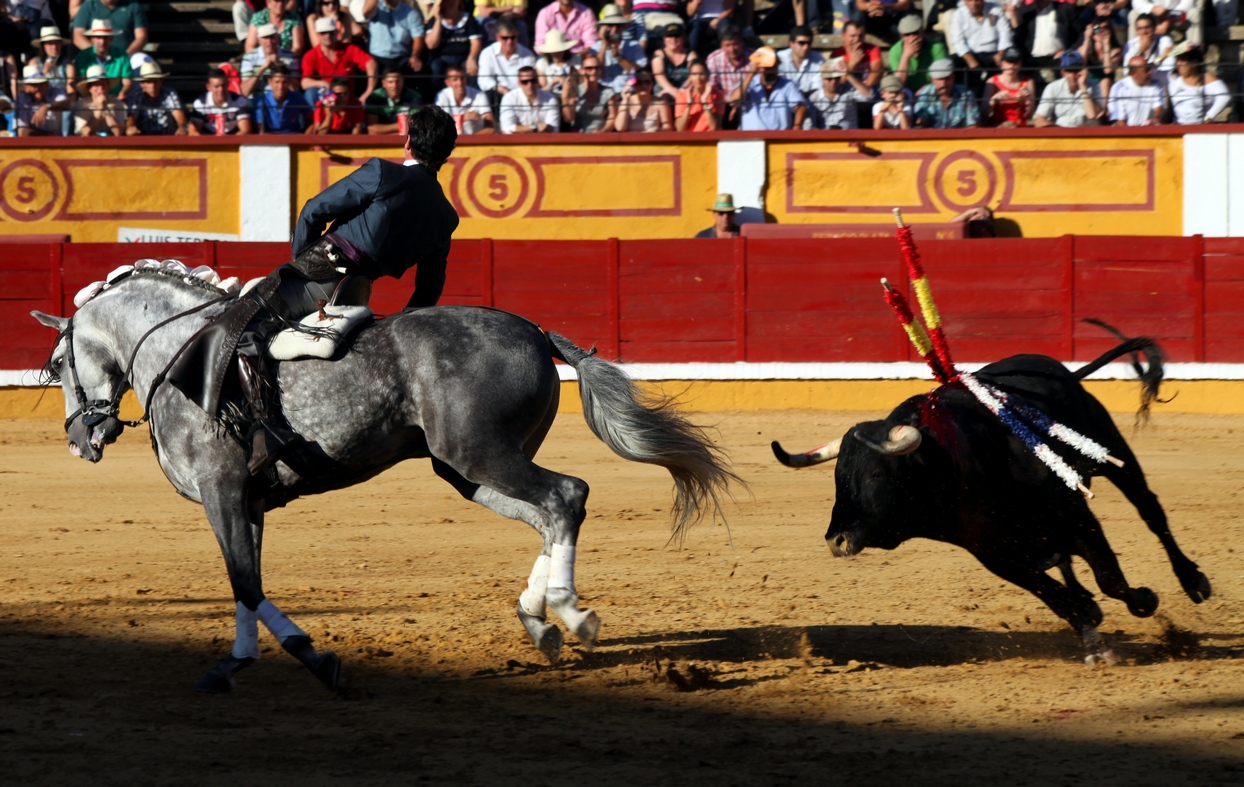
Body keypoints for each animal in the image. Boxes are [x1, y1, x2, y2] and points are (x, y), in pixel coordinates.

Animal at [31, 267, 736, 691]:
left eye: (61, 361)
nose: (79, 439)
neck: (177, 355)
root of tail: (536, 331)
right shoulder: (247, 502)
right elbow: (246, 581)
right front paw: (239, 661)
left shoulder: (221, 492)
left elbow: (244, 580)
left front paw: (312, 657)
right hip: (469, 469)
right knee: (549, 514)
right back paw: (539, 624)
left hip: (480, 455)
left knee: (567, 495)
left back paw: (568, 613)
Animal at [771, 333, 1209, 656]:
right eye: (837, 478)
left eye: (876, 474)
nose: (837, 539)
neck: (960, 467)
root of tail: (1057, 369)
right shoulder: (996, 554)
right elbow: (1057, 595)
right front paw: (1091, 630)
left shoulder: (1077, 518)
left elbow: (1110, 579)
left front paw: (1143, 600)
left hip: (1111, 452)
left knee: (1150, 510)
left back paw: (1194, 581)